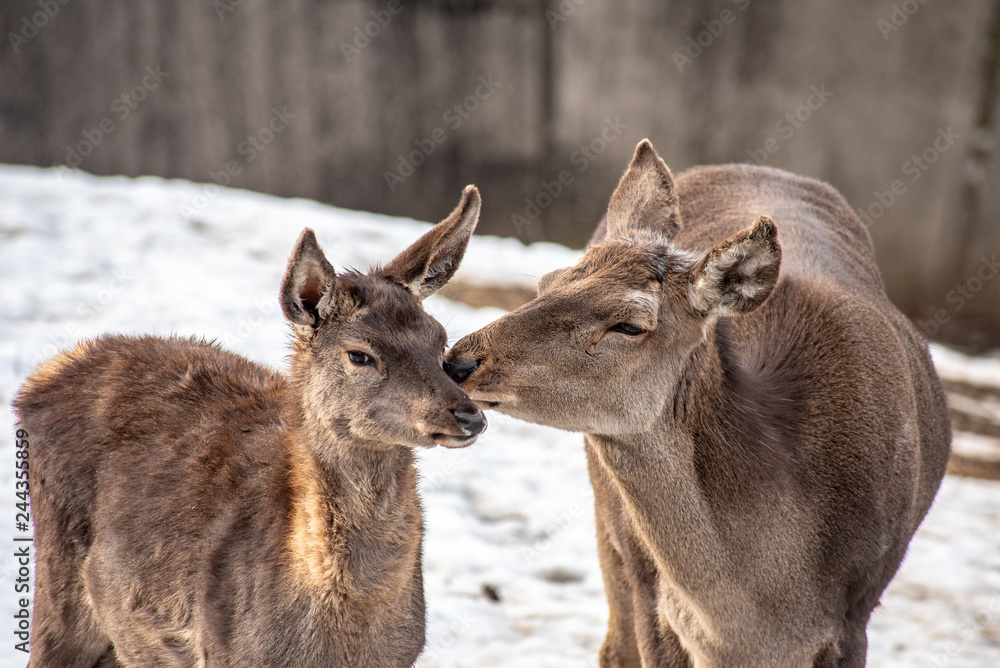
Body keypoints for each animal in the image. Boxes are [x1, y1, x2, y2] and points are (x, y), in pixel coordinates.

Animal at [13, 185, 487, 667]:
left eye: (441, 343)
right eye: (360, 354)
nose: (469, 415)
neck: (344, 634)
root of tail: (42, 376)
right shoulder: (228, 650)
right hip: (58, 590)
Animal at [445, 141, 951, 667]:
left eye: (630, 324)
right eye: (546, 282)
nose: (459, 360)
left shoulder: (858, 612)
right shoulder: (655, 603)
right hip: (614, 539)